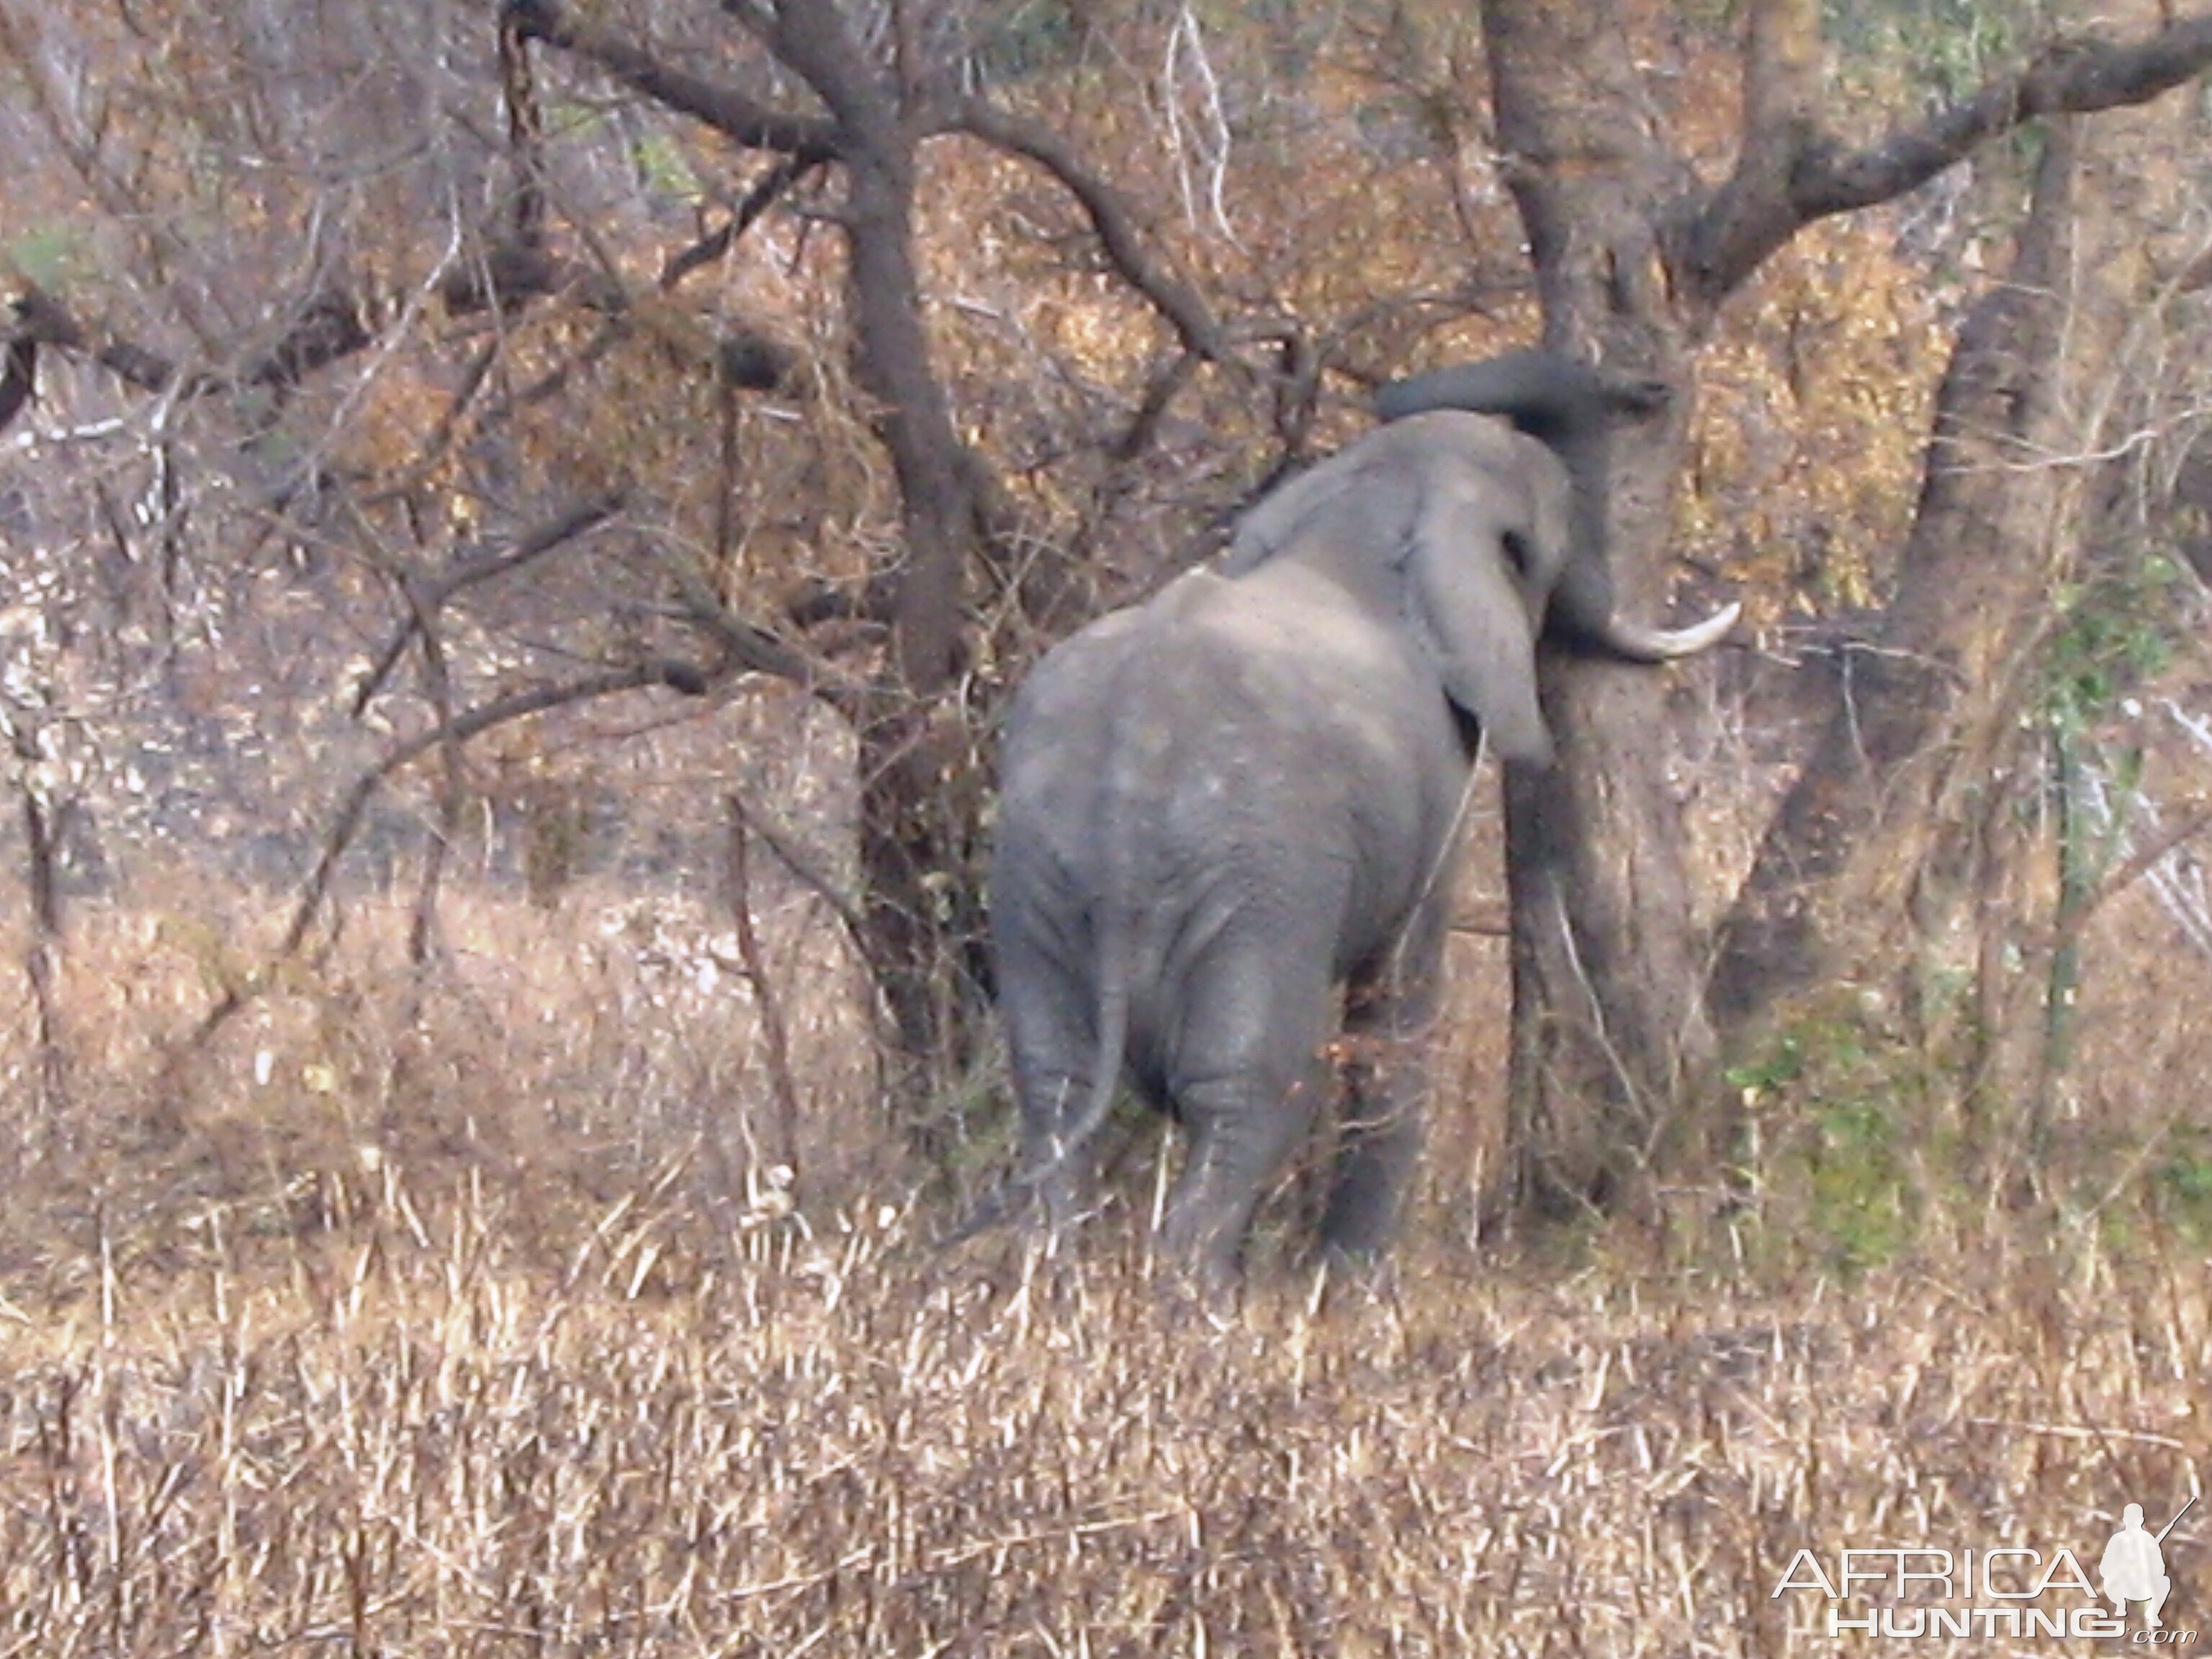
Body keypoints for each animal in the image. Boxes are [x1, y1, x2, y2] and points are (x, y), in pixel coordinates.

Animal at [991, 351, 1743, 1282]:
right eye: (1548, 541)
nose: (1651, 390)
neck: (1360, 510)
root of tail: (1131, 753)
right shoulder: (1438, 777)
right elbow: (1401, 992)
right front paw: (1352, 1285)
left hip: (1038, 872)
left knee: (1053, 1091)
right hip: (1258, 880)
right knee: (1248, 1095)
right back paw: (1199, 1296)